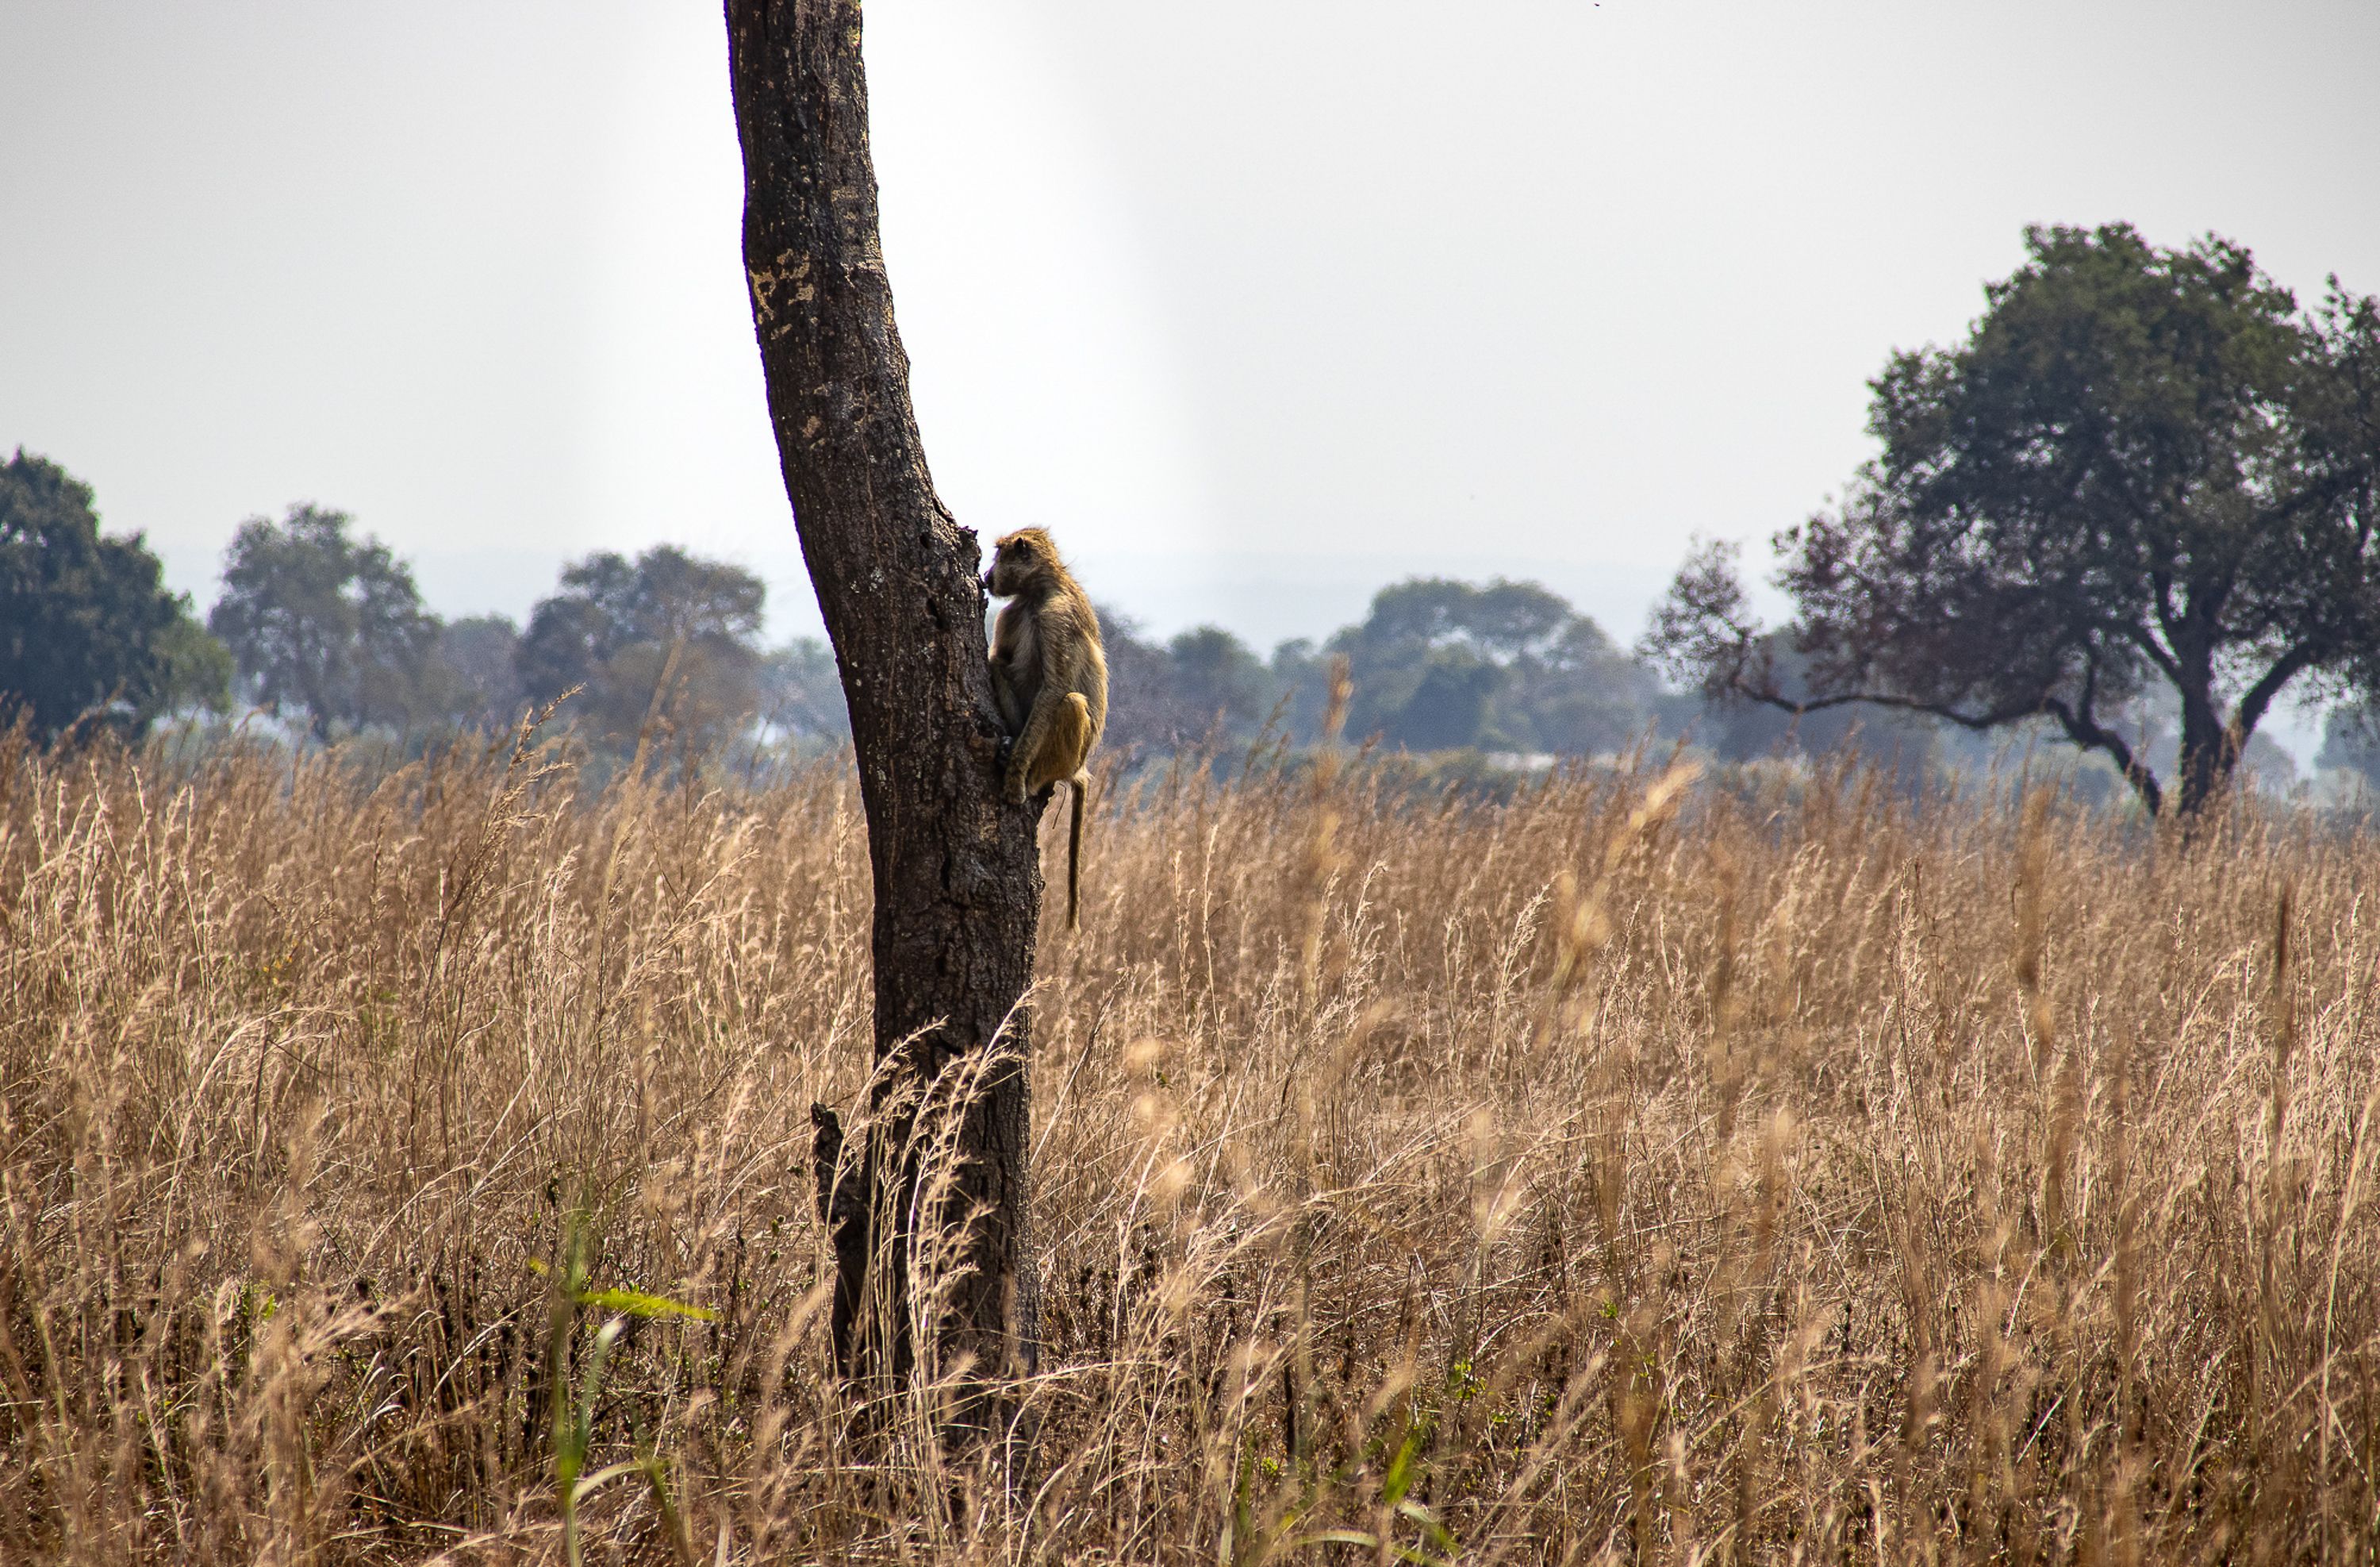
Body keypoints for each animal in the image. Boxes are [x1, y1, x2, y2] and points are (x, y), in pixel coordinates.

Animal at [984, 527, 1107, 928]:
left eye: (999, 555)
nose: (987, 576)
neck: (1039, 592)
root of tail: (1079, 769)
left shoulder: (1056, 619)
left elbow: (1054, 689)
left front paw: (1015, 775)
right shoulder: (1013, 611)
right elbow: (1000, 659)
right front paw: (1010, 751)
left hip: (1071, 756)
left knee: (1070, 703)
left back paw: (1034, 777)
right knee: (997, 664)